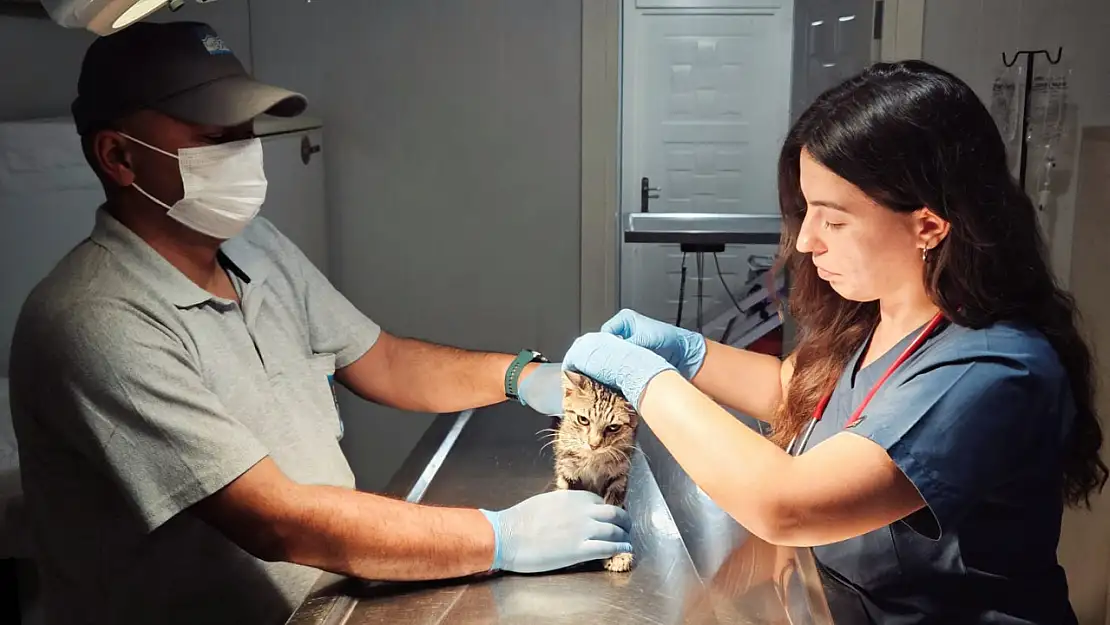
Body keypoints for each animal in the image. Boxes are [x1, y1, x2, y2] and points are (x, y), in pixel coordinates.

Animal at [550, 370, 639, 572]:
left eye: (613, 427)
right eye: (583, 420)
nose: (594, 444)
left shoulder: (619, 478)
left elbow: (612, 512)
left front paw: (618, 553)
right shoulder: (567, 471)